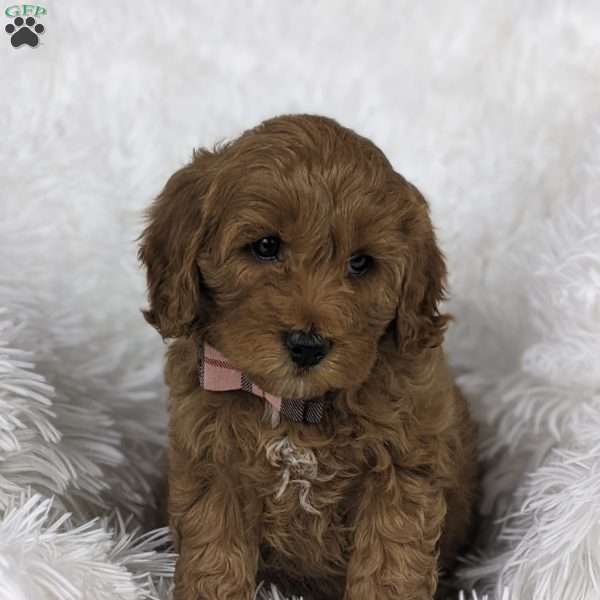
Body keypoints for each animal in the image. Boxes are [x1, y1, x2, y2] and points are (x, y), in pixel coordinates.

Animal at [139, 113, 478, 600]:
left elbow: (390, 567)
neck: (295, 409)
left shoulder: (400, 473)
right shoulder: (215, 467)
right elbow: (215, 559)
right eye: (265, 246)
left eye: (360, 263)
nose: (307, 345)